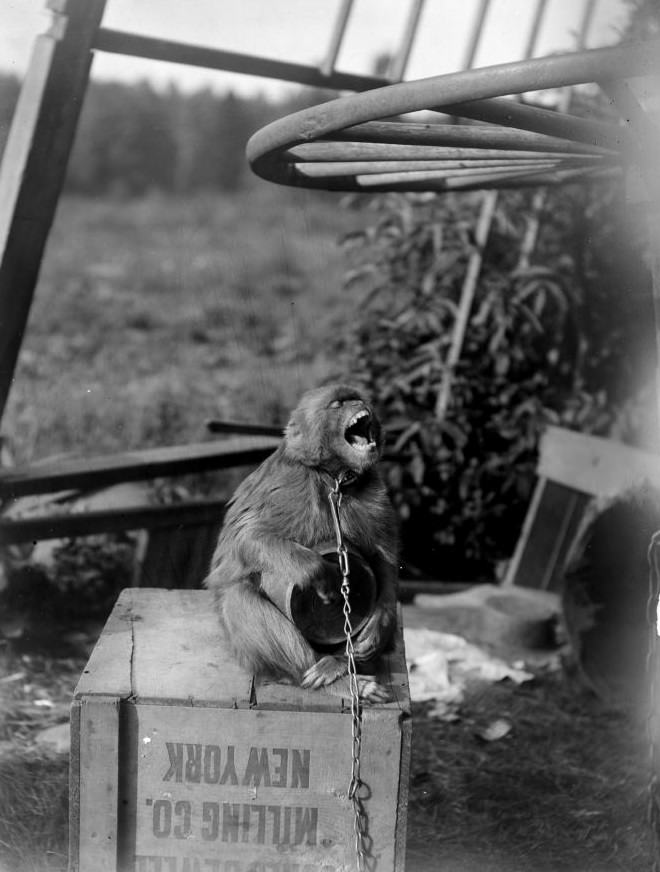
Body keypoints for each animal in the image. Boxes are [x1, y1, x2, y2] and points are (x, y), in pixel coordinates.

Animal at [205, 384, 398, 702]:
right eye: (338, 404)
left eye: (356, 398)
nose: (359, 404)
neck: (335, 478)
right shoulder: (289, 483)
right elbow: (245, 537)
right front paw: (315, 570)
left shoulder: (373, 490)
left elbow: (382, 560)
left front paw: (379, 624)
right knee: (239, 595)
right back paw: (332, 675)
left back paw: (346, 663)